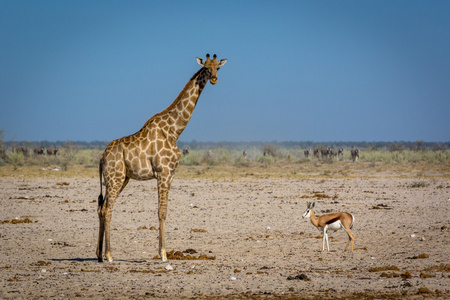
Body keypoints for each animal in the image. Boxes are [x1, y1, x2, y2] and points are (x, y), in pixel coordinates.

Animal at [96, 54, 227, 262]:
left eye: (218, 68)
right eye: (206, 68)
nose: (214, 79)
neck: (174, 130)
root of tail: (102, 157)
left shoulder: (171, 174)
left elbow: (164, 211)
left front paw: (163, 252)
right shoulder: (163, 172)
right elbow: (161, 212)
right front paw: (164, 254)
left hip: (120, 179)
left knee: (102, 208)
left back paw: (99, 255)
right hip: (115, 178)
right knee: (108, 209)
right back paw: (109, 255)